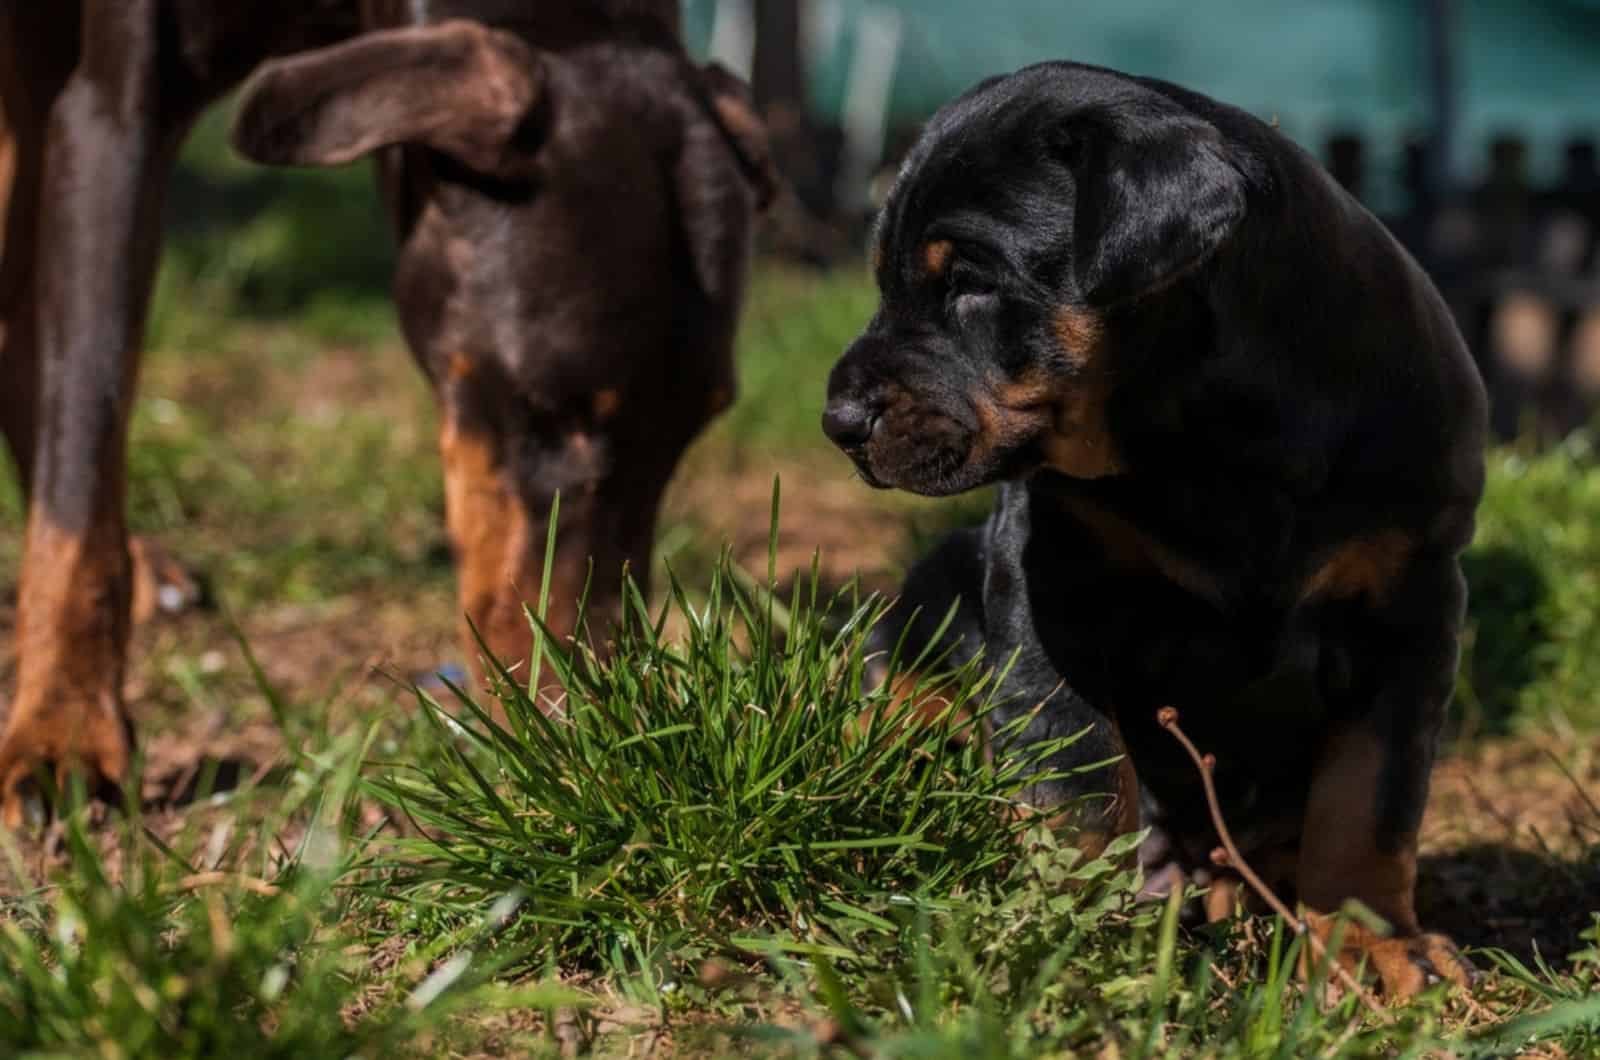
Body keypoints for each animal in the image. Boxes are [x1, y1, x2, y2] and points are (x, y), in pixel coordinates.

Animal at [0, 0, 774, 826]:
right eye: (546, 410)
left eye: (689, 434)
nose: (593, 728)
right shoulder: (117, 107)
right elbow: (85, 435)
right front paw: (63, 734)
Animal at [825, 62, 1484, 999]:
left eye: (972, 284)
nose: (838, 421)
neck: (1209, 438)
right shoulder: (1052, 578)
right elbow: (1072, 768)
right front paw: (1064, 923)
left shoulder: (1410, 599)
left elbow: (1371, 798)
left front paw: (1374, 945)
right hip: (934, 589)